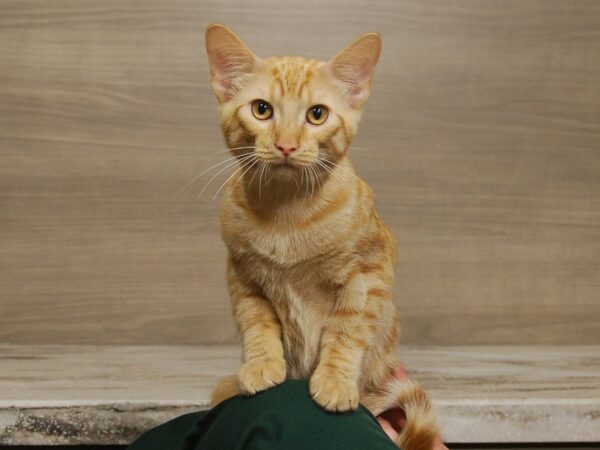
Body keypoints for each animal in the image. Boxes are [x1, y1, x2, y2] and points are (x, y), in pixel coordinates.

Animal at [205, 24, 436, 450]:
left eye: (317, 115)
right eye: (261, 109)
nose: (286, 144)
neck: (286, 214)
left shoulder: (370, 273)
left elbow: (348, 329)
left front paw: (335, 380)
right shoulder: (242, 274)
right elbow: (256, 321)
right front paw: (261, 363)